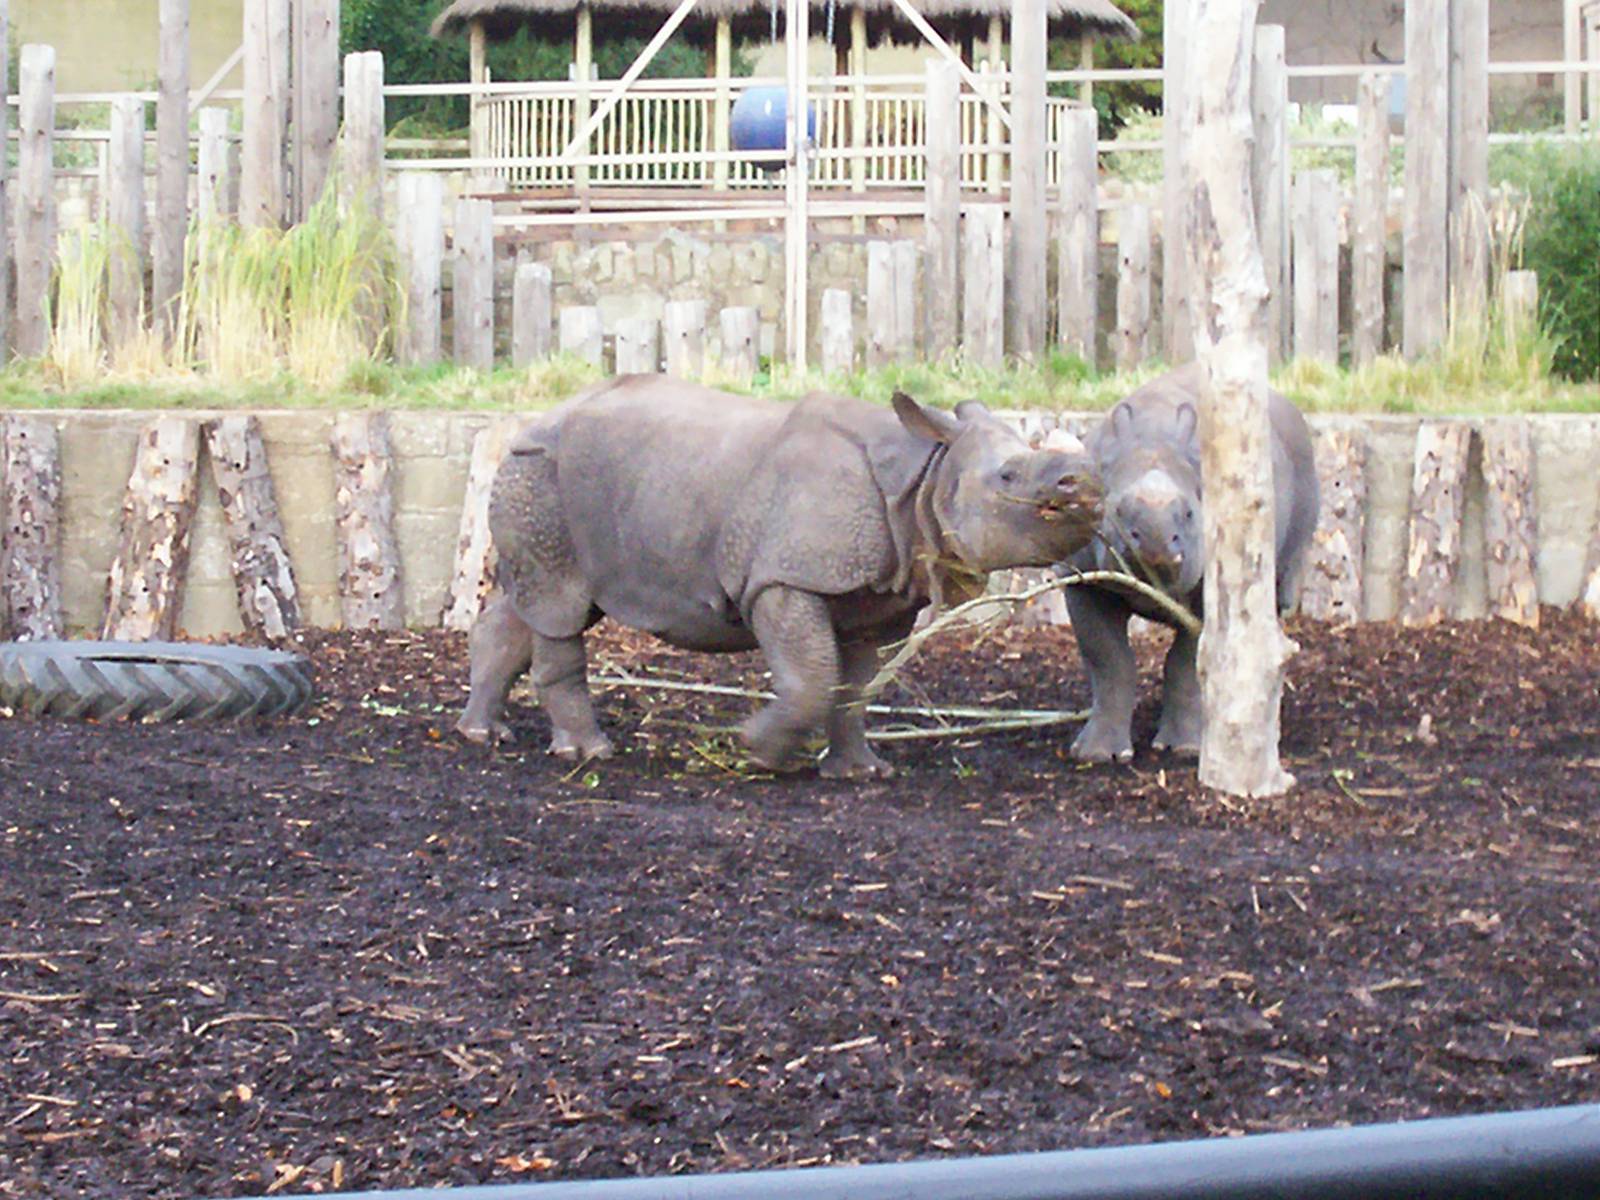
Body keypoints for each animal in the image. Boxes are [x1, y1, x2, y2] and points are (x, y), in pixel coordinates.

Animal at [457, 375, 1104, 779]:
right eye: (1009, 477)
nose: (1087, 484)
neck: (926, 470)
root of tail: (527, 426)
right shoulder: (783, 578)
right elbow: (814, 674)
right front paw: (755, 751)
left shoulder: (878, 594)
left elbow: (854, 685)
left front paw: (860, 772)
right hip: (540, 472)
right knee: (560, 606)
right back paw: (588, 755)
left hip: (551, 483)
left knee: (530, 601)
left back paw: (482, 735)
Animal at [1063, 364, 1319, 762]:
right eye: (1117, 512)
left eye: (1187, 514)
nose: (1154, 543)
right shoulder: (1083, 580)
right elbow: (1109, 659)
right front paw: (1097, 755)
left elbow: (1185, 662)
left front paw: (1183, 749)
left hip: (1302, 463)